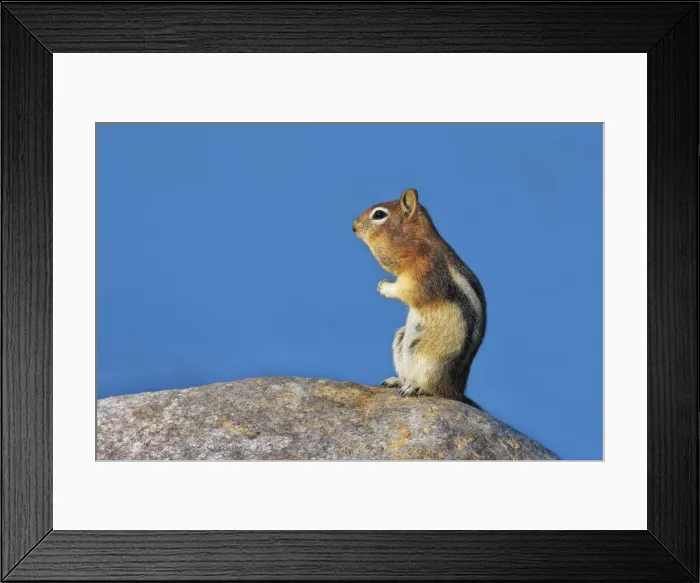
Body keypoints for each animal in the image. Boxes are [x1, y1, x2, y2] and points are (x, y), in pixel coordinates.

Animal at [352, 188, 487, 407]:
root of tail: (455, 391)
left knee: (435, 390)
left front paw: (384, 287)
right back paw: (397, 381)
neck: (418, 240)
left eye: (379, 215)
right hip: (401, 341)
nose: (353, 226)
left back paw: (417, 387)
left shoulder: (423, 272)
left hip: (428, 357)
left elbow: (407, 292)